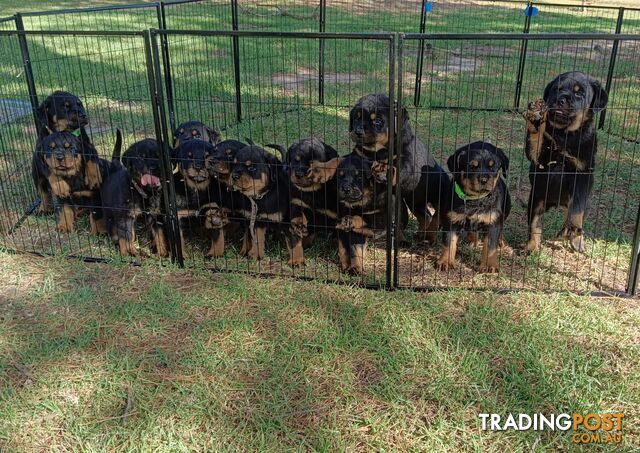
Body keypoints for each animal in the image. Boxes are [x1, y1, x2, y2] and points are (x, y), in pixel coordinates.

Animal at [348, 92, 448, 242]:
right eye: (356, 118)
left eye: (377, 121)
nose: (358, 131)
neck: (377, 152)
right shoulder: (361, 154)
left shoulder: (407, 159)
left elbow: (400, 169)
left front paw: (383, 171)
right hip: (414, 201)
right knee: (425, 216)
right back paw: (420, 235)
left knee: (437, 217)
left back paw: (429, 237)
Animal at [436, 141, 510, 274]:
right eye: (472, 167)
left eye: (493, 167)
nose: (484, 180)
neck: (475, 200)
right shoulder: (451, 220)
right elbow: (448, 242)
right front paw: (445, 262)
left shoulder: (493, 222)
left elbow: (490, 247)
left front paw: (490, 265)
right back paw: (472, 240)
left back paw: (500, 241)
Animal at [524, 72, 608, 252]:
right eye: (557, 89)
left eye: (579, 93)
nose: (561, 100)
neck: (565, 135)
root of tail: (556, 203)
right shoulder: (540, 161)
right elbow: (536, 140)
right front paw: (536, 119)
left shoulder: (582, 175)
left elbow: (576, 209)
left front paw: (571, 231)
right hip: (536, 198)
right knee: (535, 224)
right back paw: (532, 246)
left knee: (575, 213)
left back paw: (575, 237)